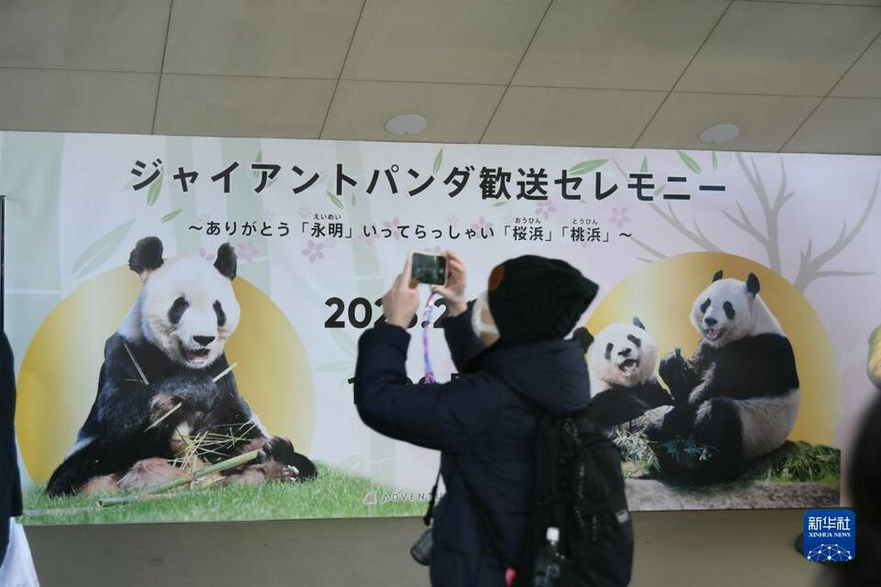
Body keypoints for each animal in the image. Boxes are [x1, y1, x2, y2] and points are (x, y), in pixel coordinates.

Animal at [46, 237, 318, 498]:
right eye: (180, 304)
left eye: (217, 308)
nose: (203, 338)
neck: (183, 363)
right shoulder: (123, 352)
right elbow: (117, 420)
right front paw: (184, 396)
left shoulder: (220, 370)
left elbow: (228, 428)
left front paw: (261, 451)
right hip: (86, 458)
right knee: (79, 470)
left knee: (299, 464)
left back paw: (274, 465)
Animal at [648, 272, 796, 482]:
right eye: (706, 303)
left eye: (728, 307)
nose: (710, 320)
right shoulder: (709, 346)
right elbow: (692, 379)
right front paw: (672, 364)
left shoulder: (758, 352)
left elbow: (712, 390)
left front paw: (660, 425)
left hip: (755, 427)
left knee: (718, 416)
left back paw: (707, 469)